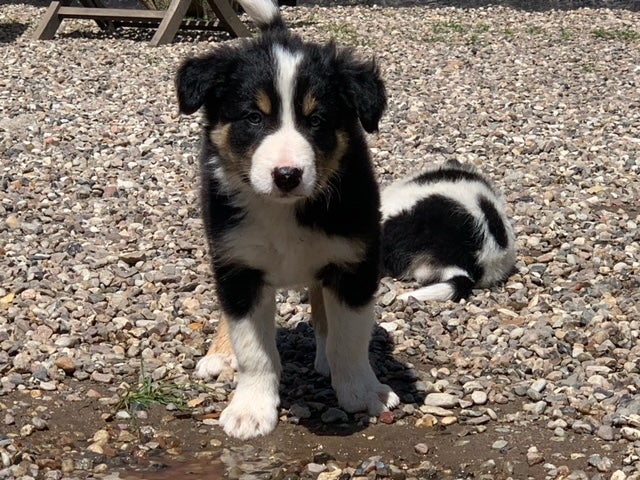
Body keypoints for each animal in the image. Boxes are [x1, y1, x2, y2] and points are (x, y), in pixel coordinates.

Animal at [172, 0, 398, 438]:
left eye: (317, 120)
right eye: (253, 118)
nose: (287, 175)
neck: (284, 209)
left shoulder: (354, 262)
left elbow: (350, 339)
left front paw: (362, 392)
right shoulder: (239, 266)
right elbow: (254, 349)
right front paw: (250, 409)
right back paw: (220, 354)